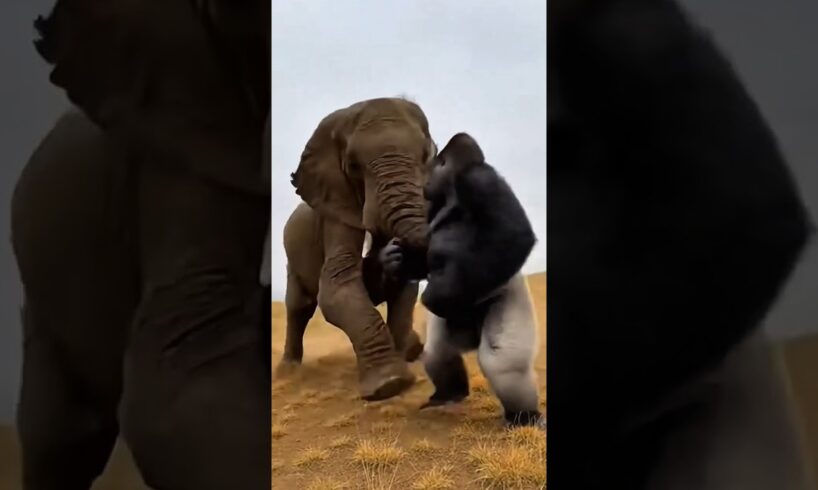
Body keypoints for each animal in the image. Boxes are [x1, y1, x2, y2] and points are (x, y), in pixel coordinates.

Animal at [278, 98, 437, 401]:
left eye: (426, 156)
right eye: (352, 166)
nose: (389, 247)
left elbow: (405, 289)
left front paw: (405, 359)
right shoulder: (336, 206)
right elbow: (336, 285)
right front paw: (389, 384)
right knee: (299, 306)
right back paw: (288, 370)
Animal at [380, 132, 543, 427]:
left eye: (430, 166)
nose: (423, 184)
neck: (451, 189)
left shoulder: (480, 179)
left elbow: (514, 234)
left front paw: (433, 295)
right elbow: (424, 256)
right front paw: (394, 259)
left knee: (501, 361)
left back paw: (525, 417)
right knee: (437, 352)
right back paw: (447, 395)